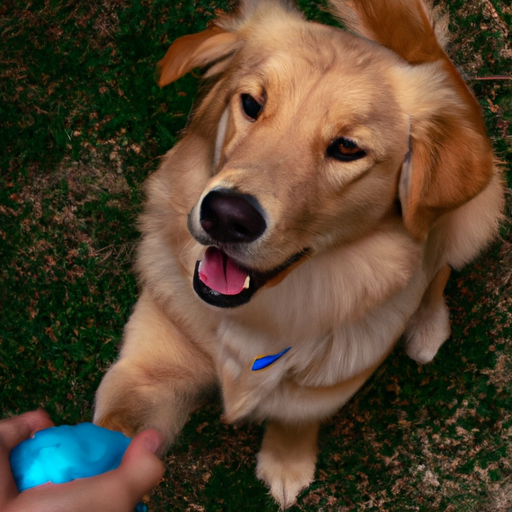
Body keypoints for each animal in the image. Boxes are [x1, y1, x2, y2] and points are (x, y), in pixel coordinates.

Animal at [92, 0, 504, 508]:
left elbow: (294, 420)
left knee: (440, 269)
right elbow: (113, 430)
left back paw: (427, 327)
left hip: (475, 219)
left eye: (347, 147)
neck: (260, 314)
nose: (226, 215)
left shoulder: (330, 382)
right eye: (252, 104)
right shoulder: (148, 367)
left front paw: (285, 465)